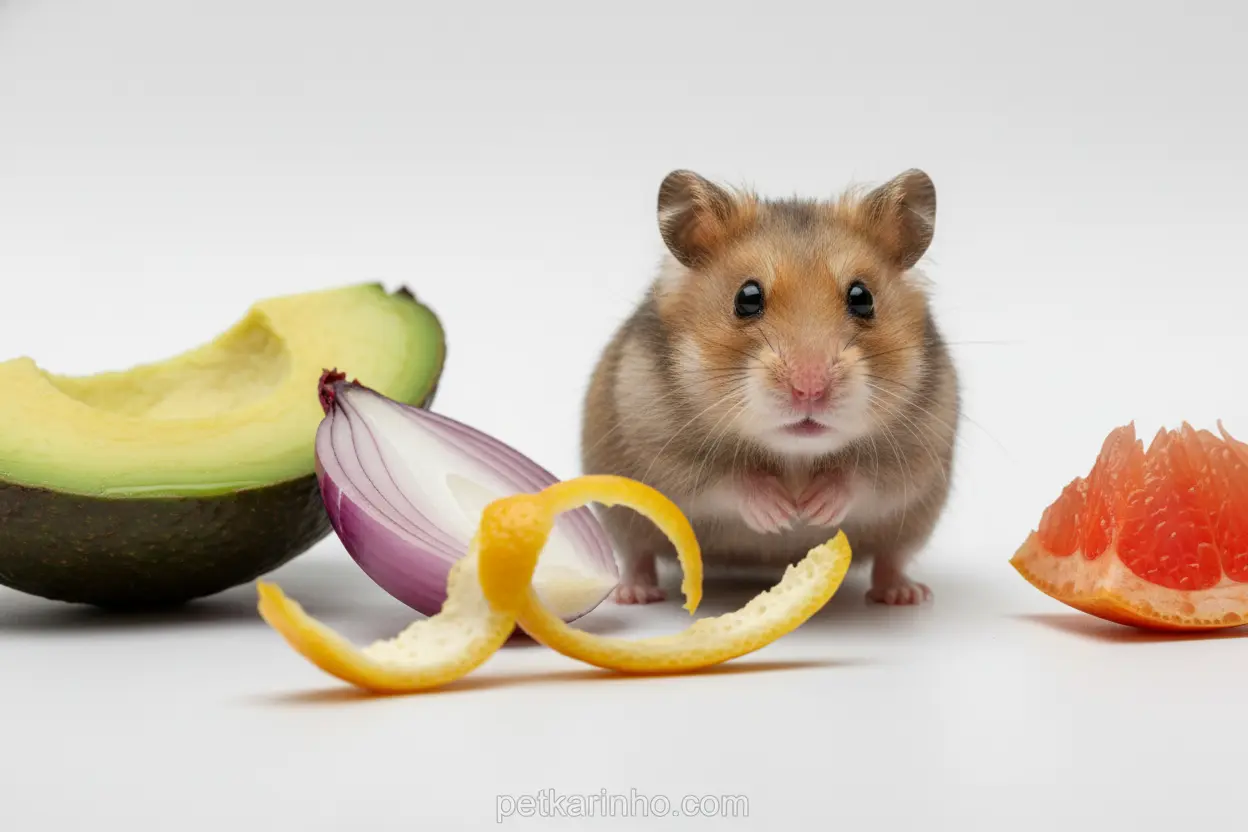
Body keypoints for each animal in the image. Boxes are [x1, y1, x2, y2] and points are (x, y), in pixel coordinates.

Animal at [580, 168, 959, 606]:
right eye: (747, 297)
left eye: (862, 297)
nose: (809, 389)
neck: (795, 455)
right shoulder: (660, 450)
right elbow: (725, 479)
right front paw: (781, 515)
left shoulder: (917, 456)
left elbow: (864, 477)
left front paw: (812, 509)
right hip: (625, 515)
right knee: (636, 553)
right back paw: (635, 593)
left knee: (891, 558)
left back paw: (904, 595)